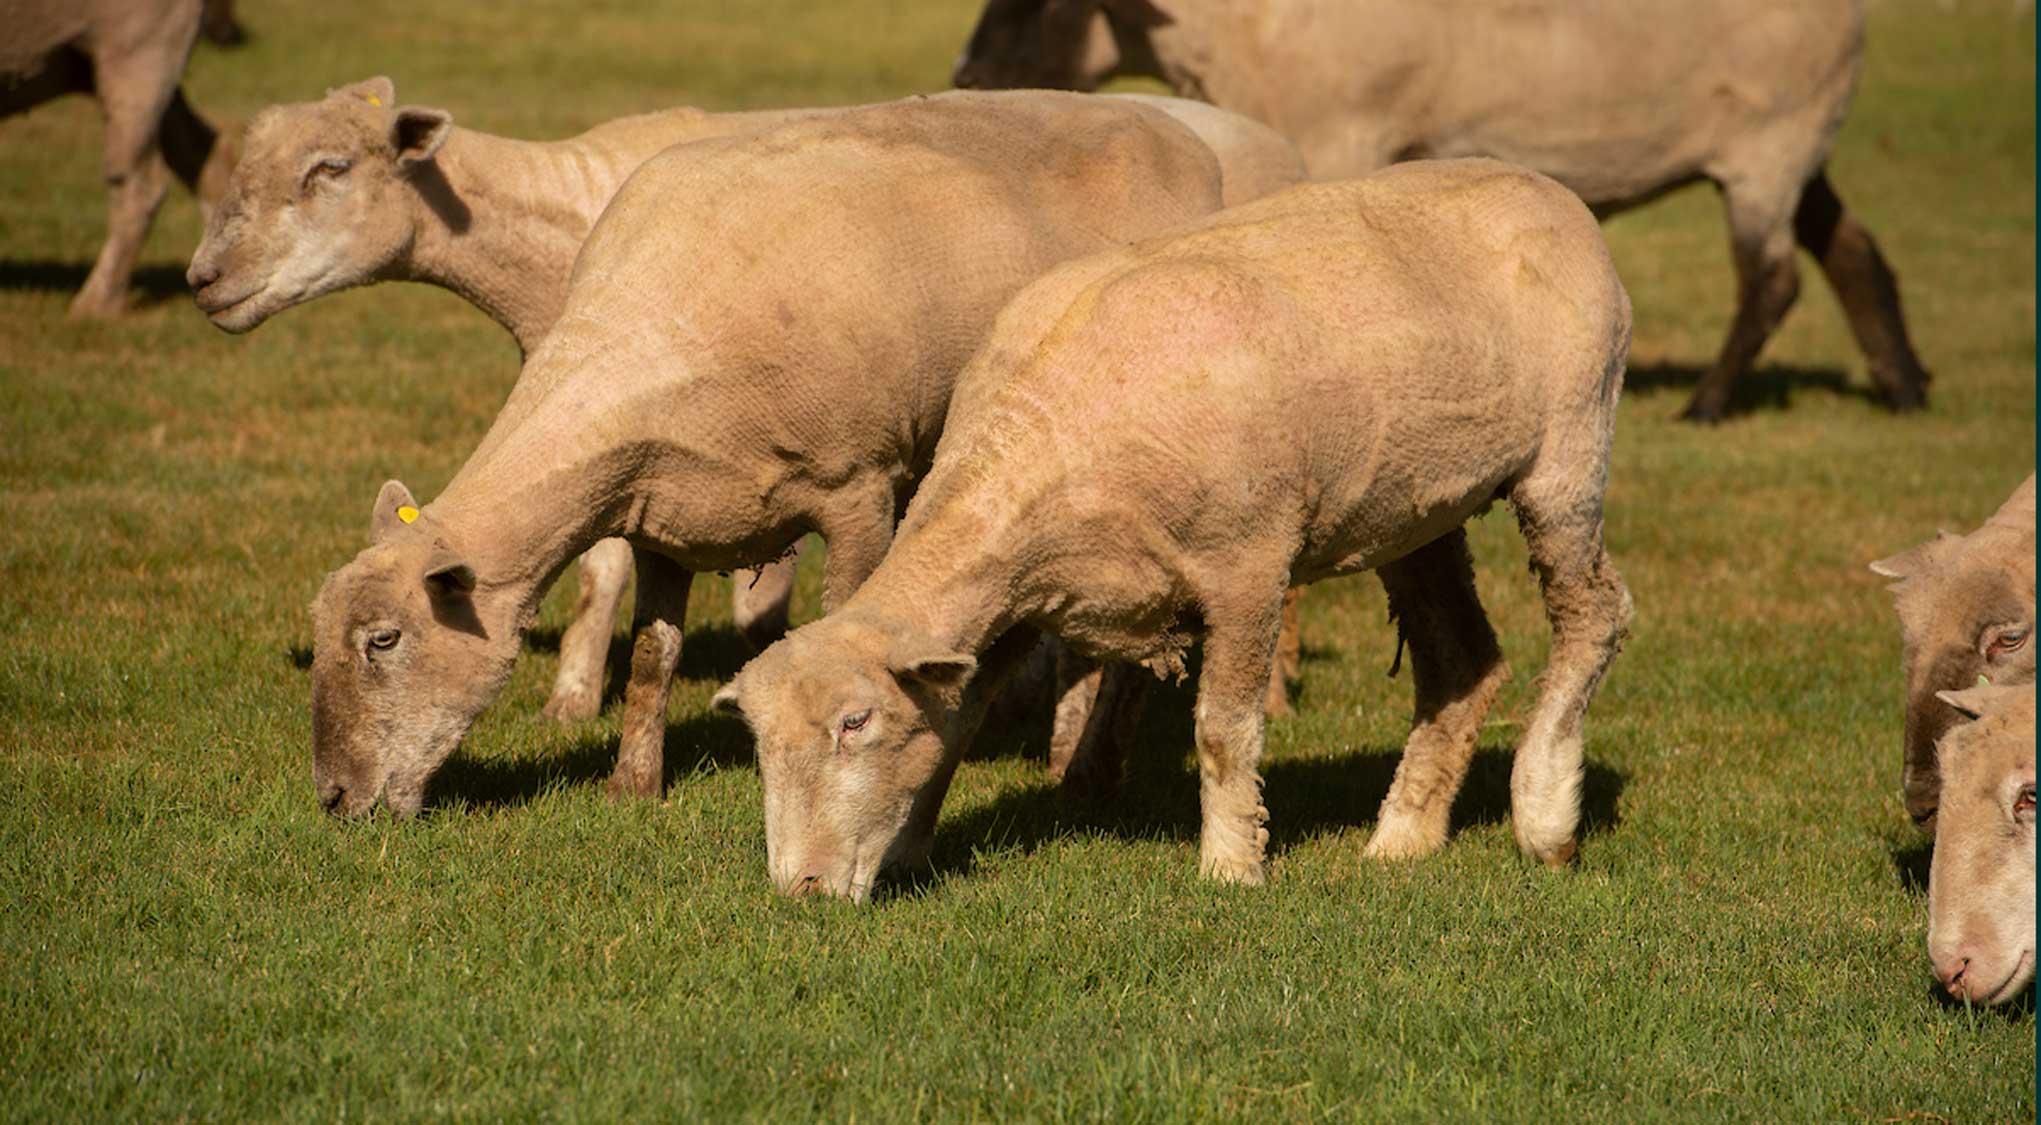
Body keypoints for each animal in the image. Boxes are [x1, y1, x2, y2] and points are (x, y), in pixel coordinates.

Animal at [710, 158, 1632, 902]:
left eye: (854, 723)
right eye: (758, 745)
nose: (801, 889)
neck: (1043, 443)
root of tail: (1548, 190)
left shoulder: (1248, 562)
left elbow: (1223, 731)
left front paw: (1229, 866)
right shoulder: (1020, 602)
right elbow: (959, 719)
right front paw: (910, 846)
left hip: (1569, 448)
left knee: (1595, 613)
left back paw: (1544, 813)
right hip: (1417, 503)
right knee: (1461, 660)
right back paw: (1401, 837)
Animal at [947, 0, 1934, 420]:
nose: (965, 76)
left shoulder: (1340, 132)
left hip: (1773, 141)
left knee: (1770, 280)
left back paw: (1708, 403)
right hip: (1795, 145)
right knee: (1851, 246)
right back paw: (1902, 385)